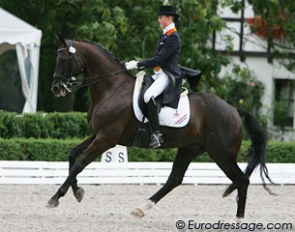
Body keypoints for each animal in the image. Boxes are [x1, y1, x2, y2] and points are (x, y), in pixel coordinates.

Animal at [48, 37, 272, 218]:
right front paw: (77, 192)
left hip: (221, 153)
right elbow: (72, 155)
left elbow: (80, 164)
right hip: (190, 148)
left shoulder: (106, 138)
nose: (56, 89)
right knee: (175, 179)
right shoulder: (99, 134)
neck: (112, 88)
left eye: (64, 60)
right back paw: (141, 208)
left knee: (242, 180)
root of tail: (233, 109)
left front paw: (56, 197)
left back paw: (239, 219)